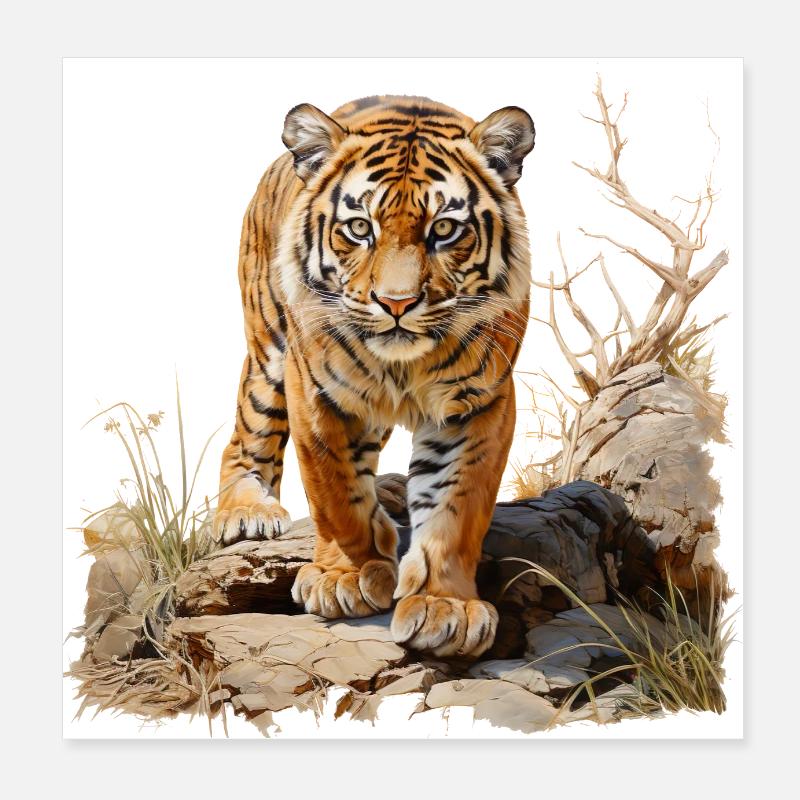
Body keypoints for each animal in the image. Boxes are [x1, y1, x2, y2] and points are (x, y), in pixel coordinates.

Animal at [212, 95, 535, 658]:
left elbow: (457, 506)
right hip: (268, 348)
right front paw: (346, 577)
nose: (397, 303)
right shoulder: (315, 391)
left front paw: (445, 607)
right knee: (248, 433)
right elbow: (335, 491)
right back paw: (246, 511)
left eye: (444, 229)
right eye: (360, 228)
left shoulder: (480, 402)